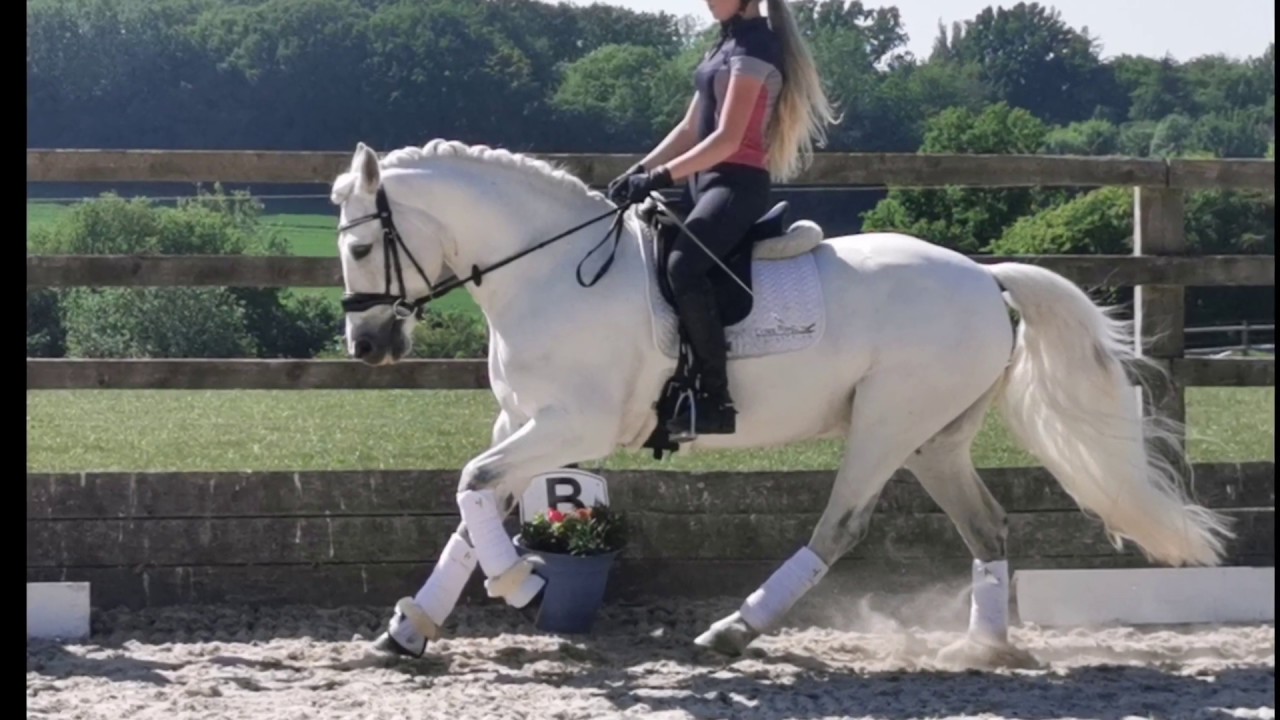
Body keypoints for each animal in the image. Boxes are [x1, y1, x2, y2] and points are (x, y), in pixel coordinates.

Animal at [329, 139, 1233, 665]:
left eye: (363, 245)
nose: (367, 345)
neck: (548, 271)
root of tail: (985, 277)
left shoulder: (571, 424)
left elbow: (473, 486)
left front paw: (524, 586)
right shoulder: (522, 421)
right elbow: (469, 509)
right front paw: (410, 629)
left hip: (889, 423)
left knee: (842, 526)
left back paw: (736, 629)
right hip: (934, 438)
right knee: (988, 525)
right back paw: (982, 648)